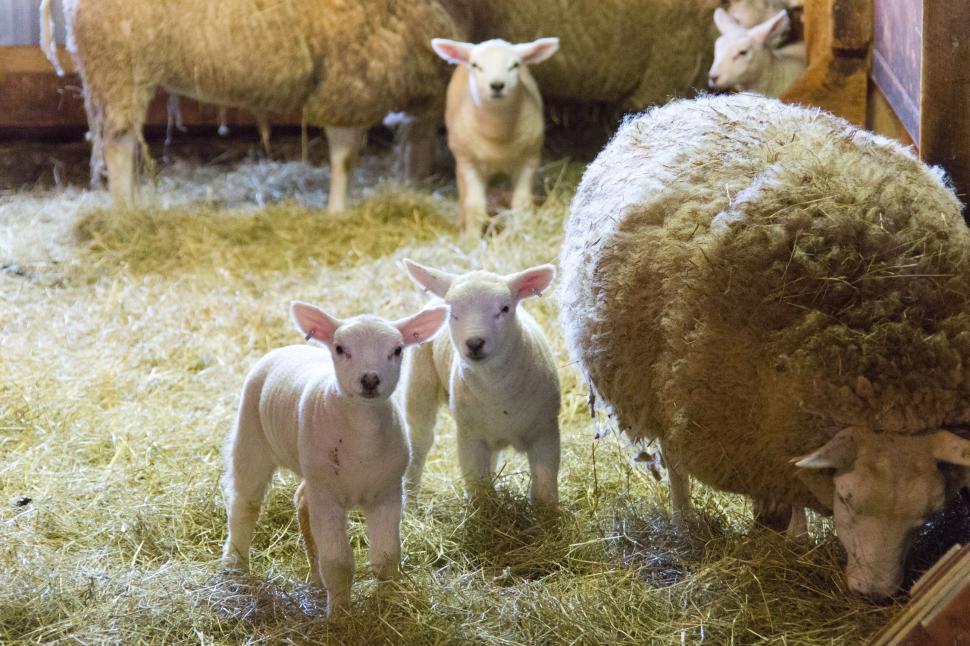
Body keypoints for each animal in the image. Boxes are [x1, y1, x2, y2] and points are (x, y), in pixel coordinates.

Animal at [40, 0, 465, 211]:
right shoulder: (347, 78)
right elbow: (343, 157)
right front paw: (337, 211)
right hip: (120, 66)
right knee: (119, 144)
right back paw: (126, 216)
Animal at [221, 301, 447, 616]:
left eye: (397, 350)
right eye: (340, 348)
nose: (370, 379)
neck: (363, 436)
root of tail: (289, 348)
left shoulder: (387, 492)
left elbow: (386, 558)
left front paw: (388, 602)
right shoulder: (328, 498)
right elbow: (339, 563)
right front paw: (340, 615)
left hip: (314, 471)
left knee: (302, 500)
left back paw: (315, 577)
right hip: (252, 435)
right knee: (245, 503)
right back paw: (236, 564)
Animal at [401, 260, 561, 508]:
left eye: (505, 308)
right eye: (452, 313)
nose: (475, 343)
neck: (498, 392)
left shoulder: (545, 432)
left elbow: (544, 490)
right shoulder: (471, 439)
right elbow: (479, 490)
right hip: (419, 386)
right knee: (419, 443)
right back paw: (410, 500)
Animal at [431, 38, 559, 234]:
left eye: (515, 65)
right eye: (475, 65)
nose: (497, 85)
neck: (497, 132)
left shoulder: (529, 159)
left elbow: (522, 202)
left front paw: (524, 230)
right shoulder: (469, 162)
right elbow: (474, 205)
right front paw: (471, 237)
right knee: (463, 192)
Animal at [558, 93, 970, 600]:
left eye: (927, 513)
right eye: (848, 498)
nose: (873, 593)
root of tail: (690, 102)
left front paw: (793, 534)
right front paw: (788, 537)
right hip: (665, 390)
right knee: (674, 463)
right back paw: (686, 521)